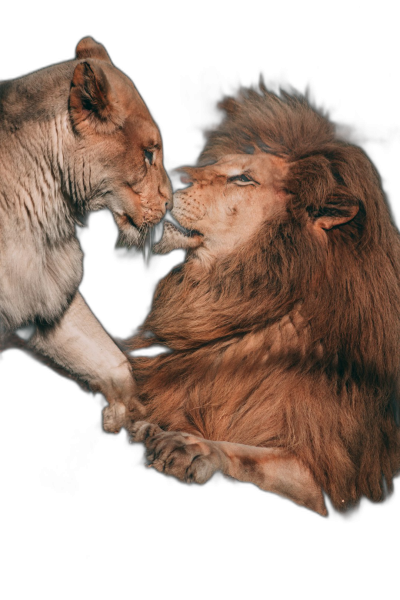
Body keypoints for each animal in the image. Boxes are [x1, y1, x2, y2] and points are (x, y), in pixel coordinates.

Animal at [127, 86, 400, 512]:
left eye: (243, 178)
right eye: (215, 164)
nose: (169, 176)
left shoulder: (330, 480)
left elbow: (249, 455)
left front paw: (189, 447)